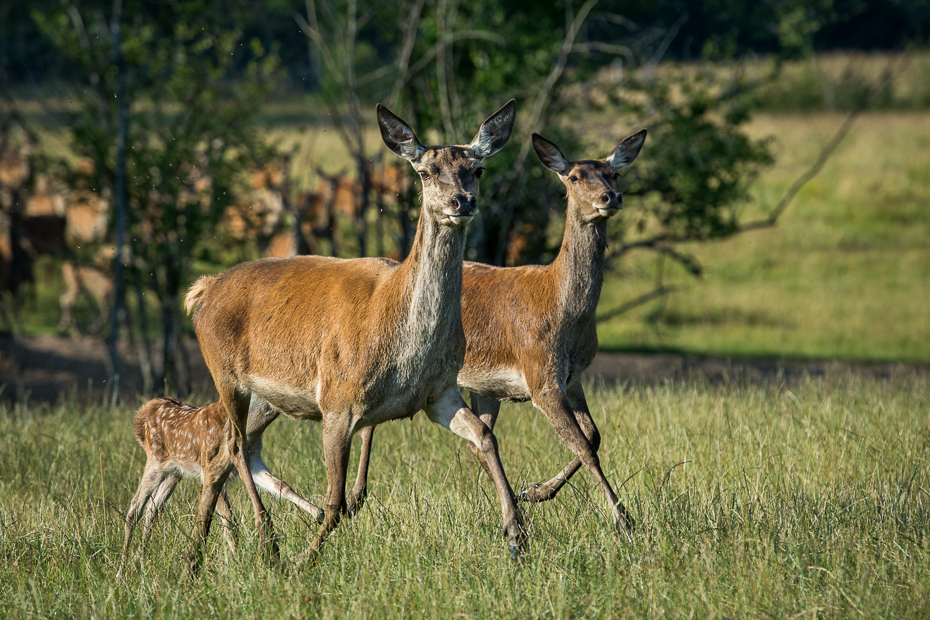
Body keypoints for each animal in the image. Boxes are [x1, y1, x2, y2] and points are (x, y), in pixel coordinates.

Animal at [118, 398, 324, 576]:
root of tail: (142, 414)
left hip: (176, 472)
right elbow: (228, 519)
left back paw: (140, 558)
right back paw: (123, 569)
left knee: (153, 508)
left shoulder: (254, 460)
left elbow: (282, 486)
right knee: (135, 507)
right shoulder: (212, 468)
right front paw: (239, 562)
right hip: (156, 462)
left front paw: (318, 513)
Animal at [185, 99, 524, 568]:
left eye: (478, 168)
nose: (463, 200)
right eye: (425, 171)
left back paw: (194, 556)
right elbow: (336, 500)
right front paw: (305, 559)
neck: (405, 347)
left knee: (222, 453)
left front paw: (516, 537)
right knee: (234, 447)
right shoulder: (337, 401)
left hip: (265, 398)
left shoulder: (439, 392)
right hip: (226, 374)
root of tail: (203, 290)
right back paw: (267, 542)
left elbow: (486, 437)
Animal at [342, 130, 644, 536]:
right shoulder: (540, 372)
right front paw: (623, 519)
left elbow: (593, 436)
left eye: (615, 173)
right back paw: (355, 497)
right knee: (370, 422)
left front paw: (535, 492)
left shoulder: (574, 376)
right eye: (575, 176)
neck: (563, 310)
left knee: (475, 440)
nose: (611, 197)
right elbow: (583, 446)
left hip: (482, 387)